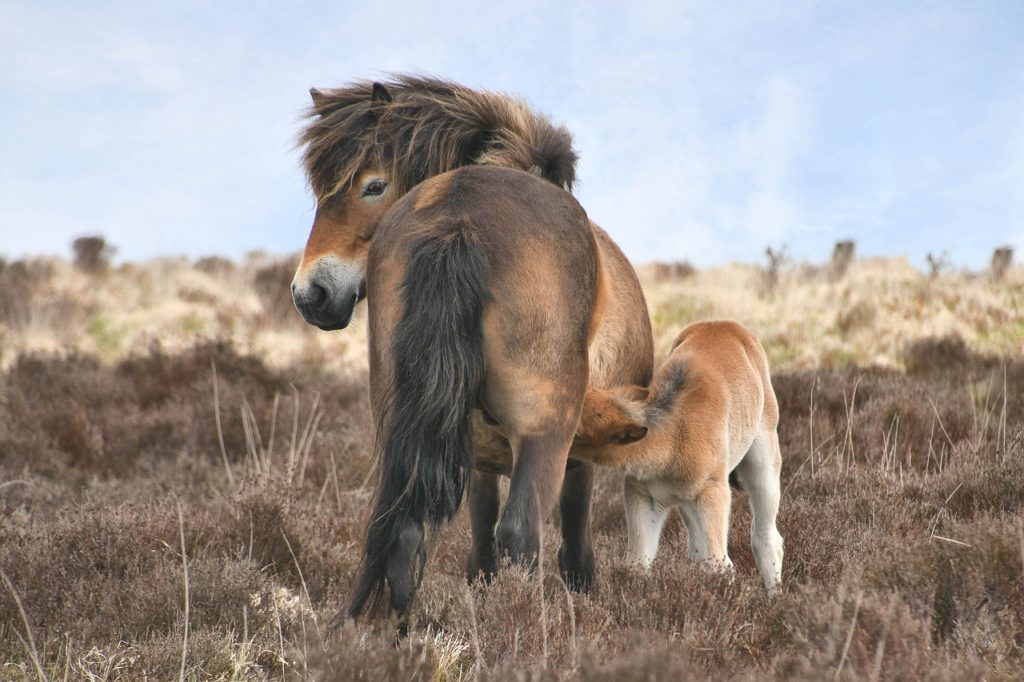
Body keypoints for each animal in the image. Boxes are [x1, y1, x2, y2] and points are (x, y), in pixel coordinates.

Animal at [290, 76, 655, 622]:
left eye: (373, 185)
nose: (310, 295)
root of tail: (458, 216)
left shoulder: (476, 451)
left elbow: (478, 539)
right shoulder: (577, 452)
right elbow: (570, 538)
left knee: (405, 533)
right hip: (545, 431)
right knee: (522, 534)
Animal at [577, 319, 782, 589]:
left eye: (577, 429)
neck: (674, 434)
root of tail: (725, 324)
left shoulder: (713, 493)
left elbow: (721, 565)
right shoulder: (644, 497)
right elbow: (637, 565)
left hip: (764, 460)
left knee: (766, 537)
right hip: (688, 506)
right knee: (696, 548)